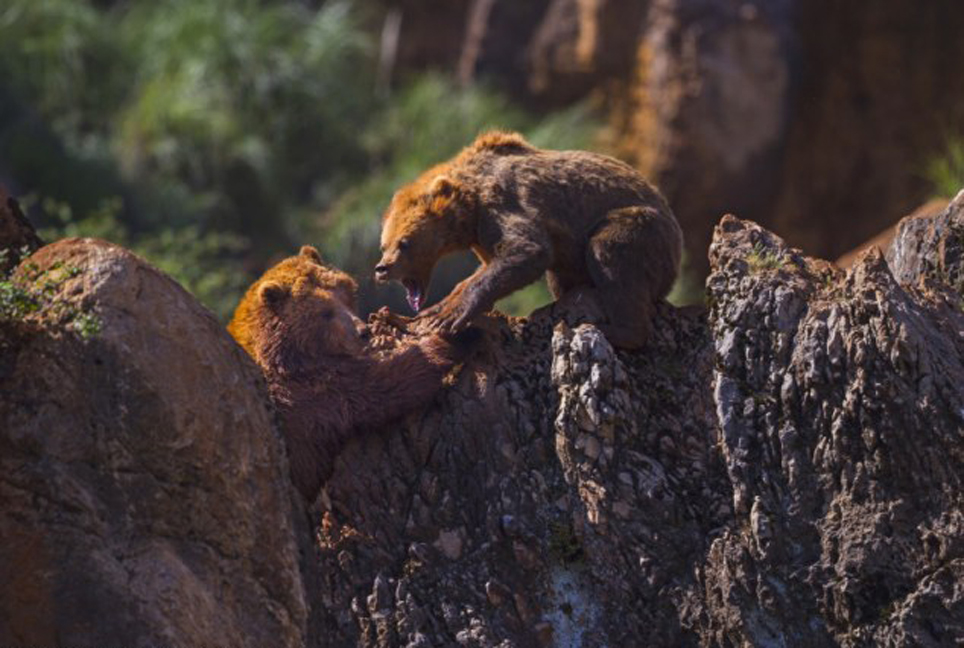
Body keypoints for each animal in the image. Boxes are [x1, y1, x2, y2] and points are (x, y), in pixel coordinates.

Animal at [228, 245, 463, 501]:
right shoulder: (308, 391)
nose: (363, 332)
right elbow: (377, 388)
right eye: (324, 313)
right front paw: (444, 342)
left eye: (345, 295)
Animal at [374, 131, 683, 349]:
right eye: (384, 244)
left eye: (405, 242)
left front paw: (450, 316)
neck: (469, 207)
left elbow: (527, 249)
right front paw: (439, 307)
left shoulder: (502, 204)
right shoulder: (482, 235)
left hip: (642, 227)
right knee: (562, 278)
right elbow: (487, 268)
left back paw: (613, 329)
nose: (382, 268)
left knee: (612, 255)